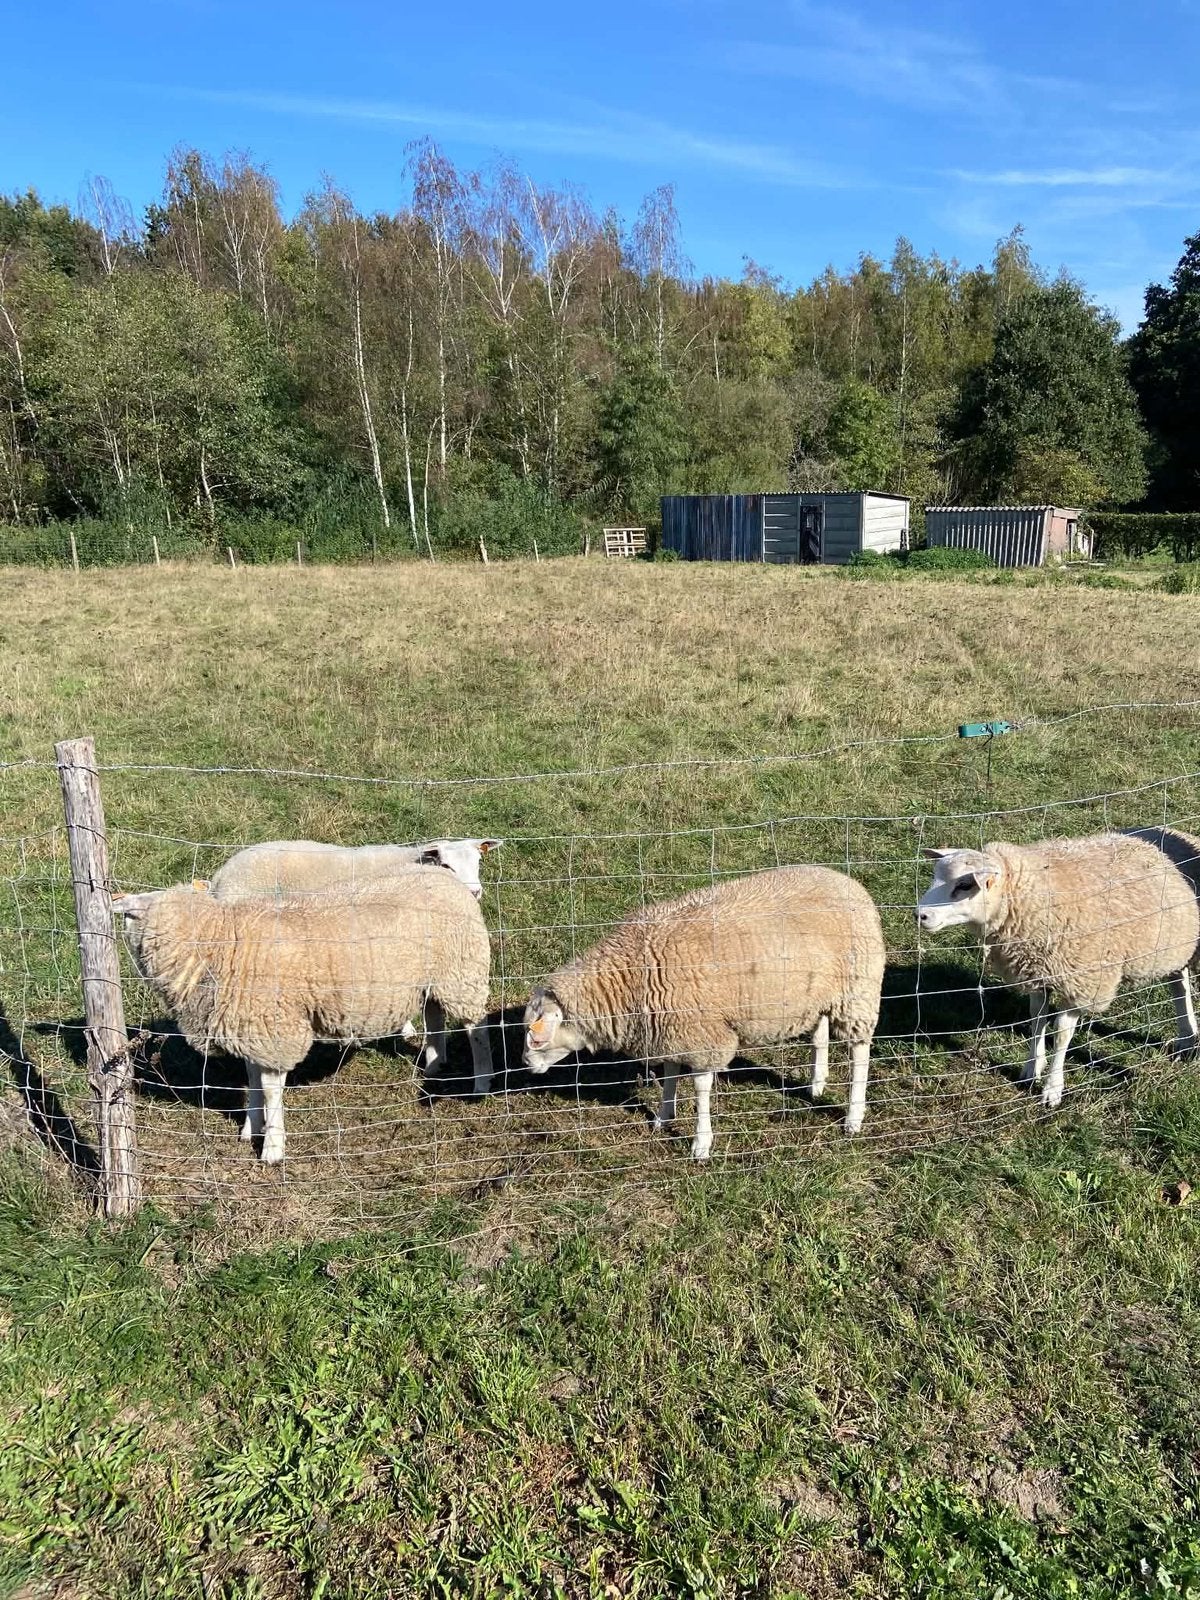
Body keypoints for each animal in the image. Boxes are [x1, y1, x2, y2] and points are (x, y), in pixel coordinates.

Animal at [114, 869, 493, 1165]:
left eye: (133, 913)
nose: (118, 904)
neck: (222, 943)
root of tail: (448, 879)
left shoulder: (275, 1029)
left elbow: (270, 1090)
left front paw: (272, 1147)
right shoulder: (252, 1027)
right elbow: (252, 1080)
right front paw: (251, 1128)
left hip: (463, 969)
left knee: (475, 1027)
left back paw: (482, 1082)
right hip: (433, 978)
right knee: (435, 1017)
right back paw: (434, 1065)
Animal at [521, 865, 886, 1160]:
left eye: (537, 1039)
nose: (527, 1065)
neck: (630, 978)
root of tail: (848, 882)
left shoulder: (701, 1035)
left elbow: (700, 1089)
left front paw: (701, 1144)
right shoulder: (669, 1026)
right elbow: (670, 1073)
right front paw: (663, 1117)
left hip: (858, 991)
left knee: (859, 1053)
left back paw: (853, 1117)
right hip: (818, 994)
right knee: (820, 1034)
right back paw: (817, 1084)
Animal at [917, 831, 1200, 1109]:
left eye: (964, 886)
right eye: (935, 877)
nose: (920, 915)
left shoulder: (1079, 980)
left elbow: (1062, 1034)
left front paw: (1052, 1089)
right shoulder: (1036, 971)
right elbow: (1036, 1018)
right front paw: (1031, 1069)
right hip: (1176, 942)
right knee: (1179, 981)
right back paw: (1187, 1037)